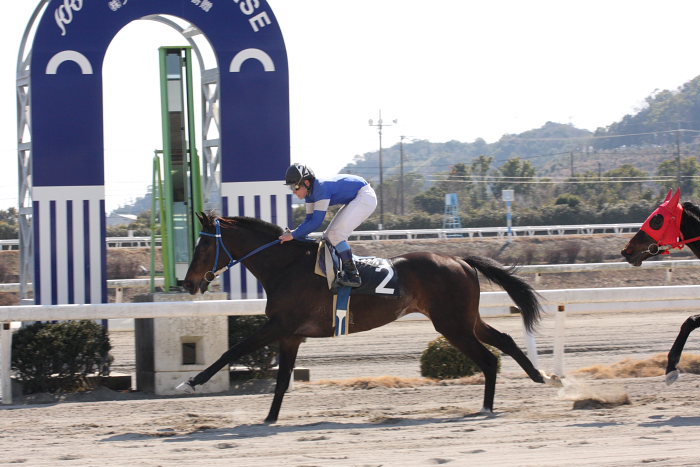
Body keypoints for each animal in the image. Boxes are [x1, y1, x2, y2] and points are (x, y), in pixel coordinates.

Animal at [179, 213, 556, 424]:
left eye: (202, 246)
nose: (188, 283)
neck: (286, 267)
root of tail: (461, 260)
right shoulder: (290, 334)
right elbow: (282, 379)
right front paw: (270, 417)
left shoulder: (280, 326)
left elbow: (232, 351)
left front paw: (192, 381)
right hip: (464, 319)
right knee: (503, 341)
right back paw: (539, 376)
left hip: (452, 324)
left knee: (488, 359)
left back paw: (488, 407)